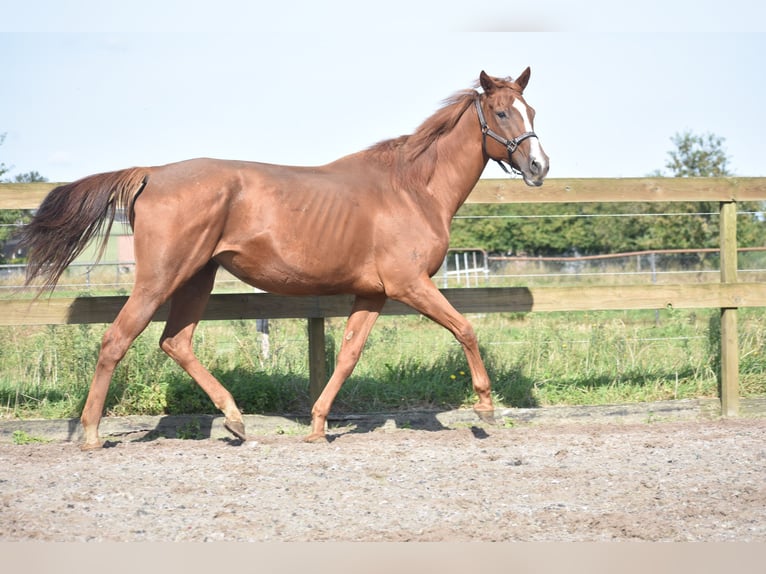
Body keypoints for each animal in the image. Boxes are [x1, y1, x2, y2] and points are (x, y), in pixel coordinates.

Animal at [21, 70, 548, 452]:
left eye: (533, 110)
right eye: (501, 112)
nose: (540, 166)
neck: (412, 188)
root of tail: (151, 173)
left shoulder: (372, 294)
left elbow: (348, 355)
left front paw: (316, 426)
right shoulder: (409, 284)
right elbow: (466, 329)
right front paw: (485, 407)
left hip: (197, 278)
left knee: (176, 342)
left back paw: (235, 420)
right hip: (160, 278)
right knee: (116, 339)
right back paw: (92, 435)